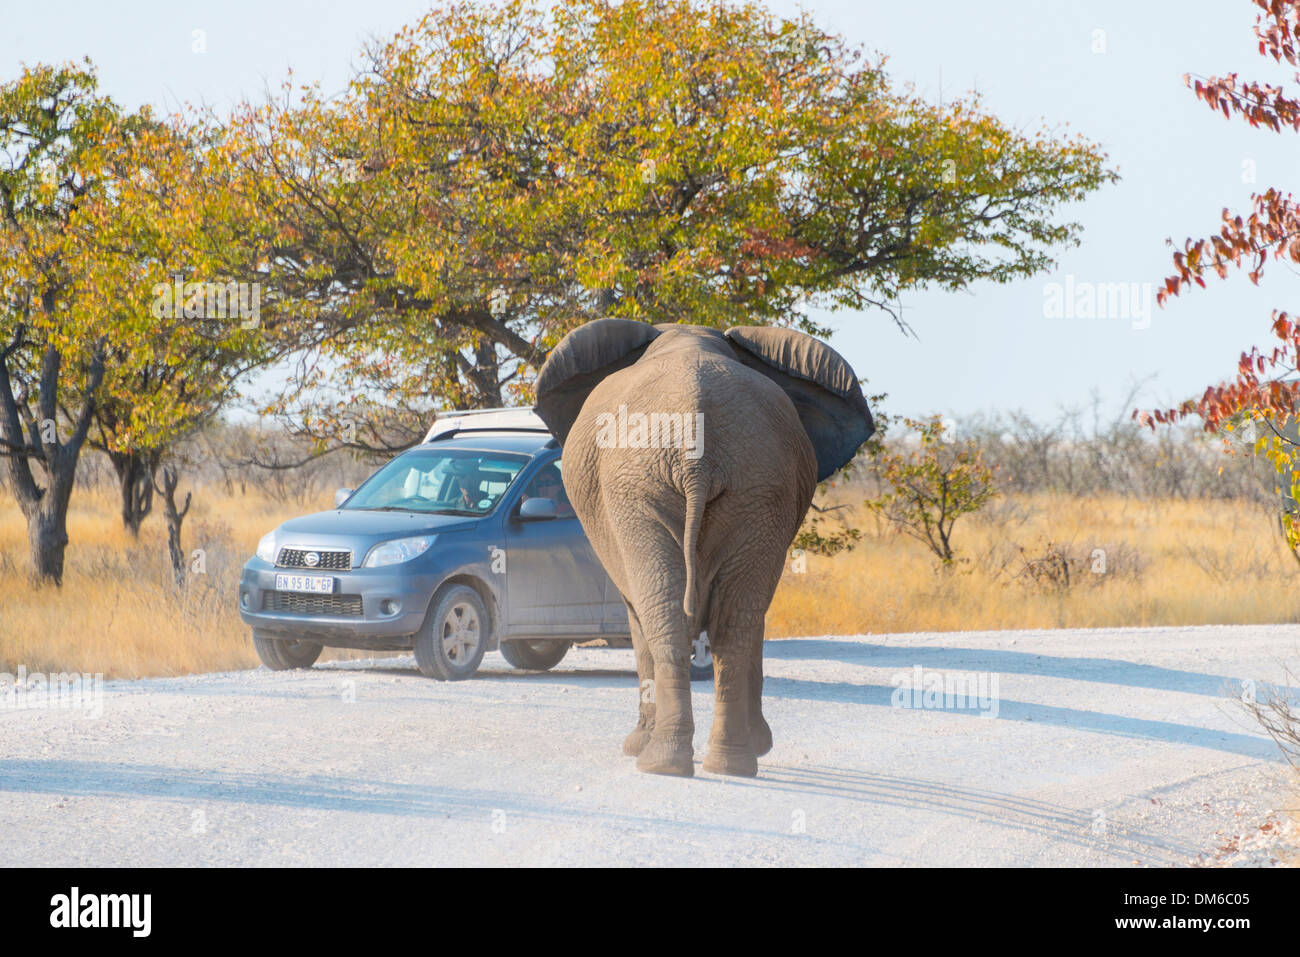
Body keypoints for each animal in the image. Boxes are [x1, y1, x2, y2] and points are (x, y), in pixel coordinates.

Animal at [533, 321, 878, 780]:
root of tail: (697, 458)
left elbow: (637, 618)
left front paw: (635, 745)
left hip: (644, 491)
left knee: (666, 617)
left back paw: (659, 762)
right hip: (752, 487)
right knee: (733, 623)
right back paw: (729, 763)